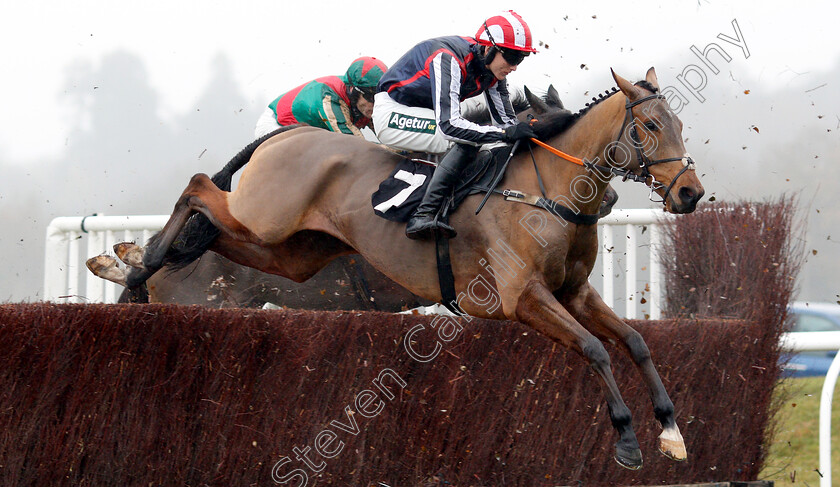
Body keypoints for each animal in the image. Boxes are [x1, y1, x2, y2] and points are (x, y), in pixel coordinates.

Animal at [87, 68, 704, 468]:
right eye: (651, 127)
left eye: (680, 123)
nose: (691, 194)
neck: (542, 191)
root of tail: (285, 136)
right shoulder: (522, 298)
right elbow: (596, 348)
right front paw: (626, 441)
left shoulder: (573, 293)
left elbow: (634, 341)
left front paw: (671, 430)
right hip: (255, 231)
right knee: (197, 187)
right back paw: (140, 259)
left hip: (287, 252)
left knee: (212, 217)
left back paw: (138, 259)